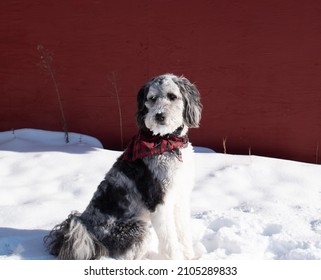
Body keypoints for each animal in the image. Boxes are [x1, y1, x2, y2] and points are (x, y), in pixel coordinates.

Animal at [43, 73, 201, 260]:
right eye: (152, 98)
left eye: (172, 96)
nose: (159, 115)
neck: (167, 142)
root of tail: (91, 236)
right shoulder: (159, 200)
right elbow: (169, 240)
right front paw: (176, 259)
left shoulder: (180, 197)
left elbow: (183, 232)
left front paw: (190, 257)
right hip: (138, 230)